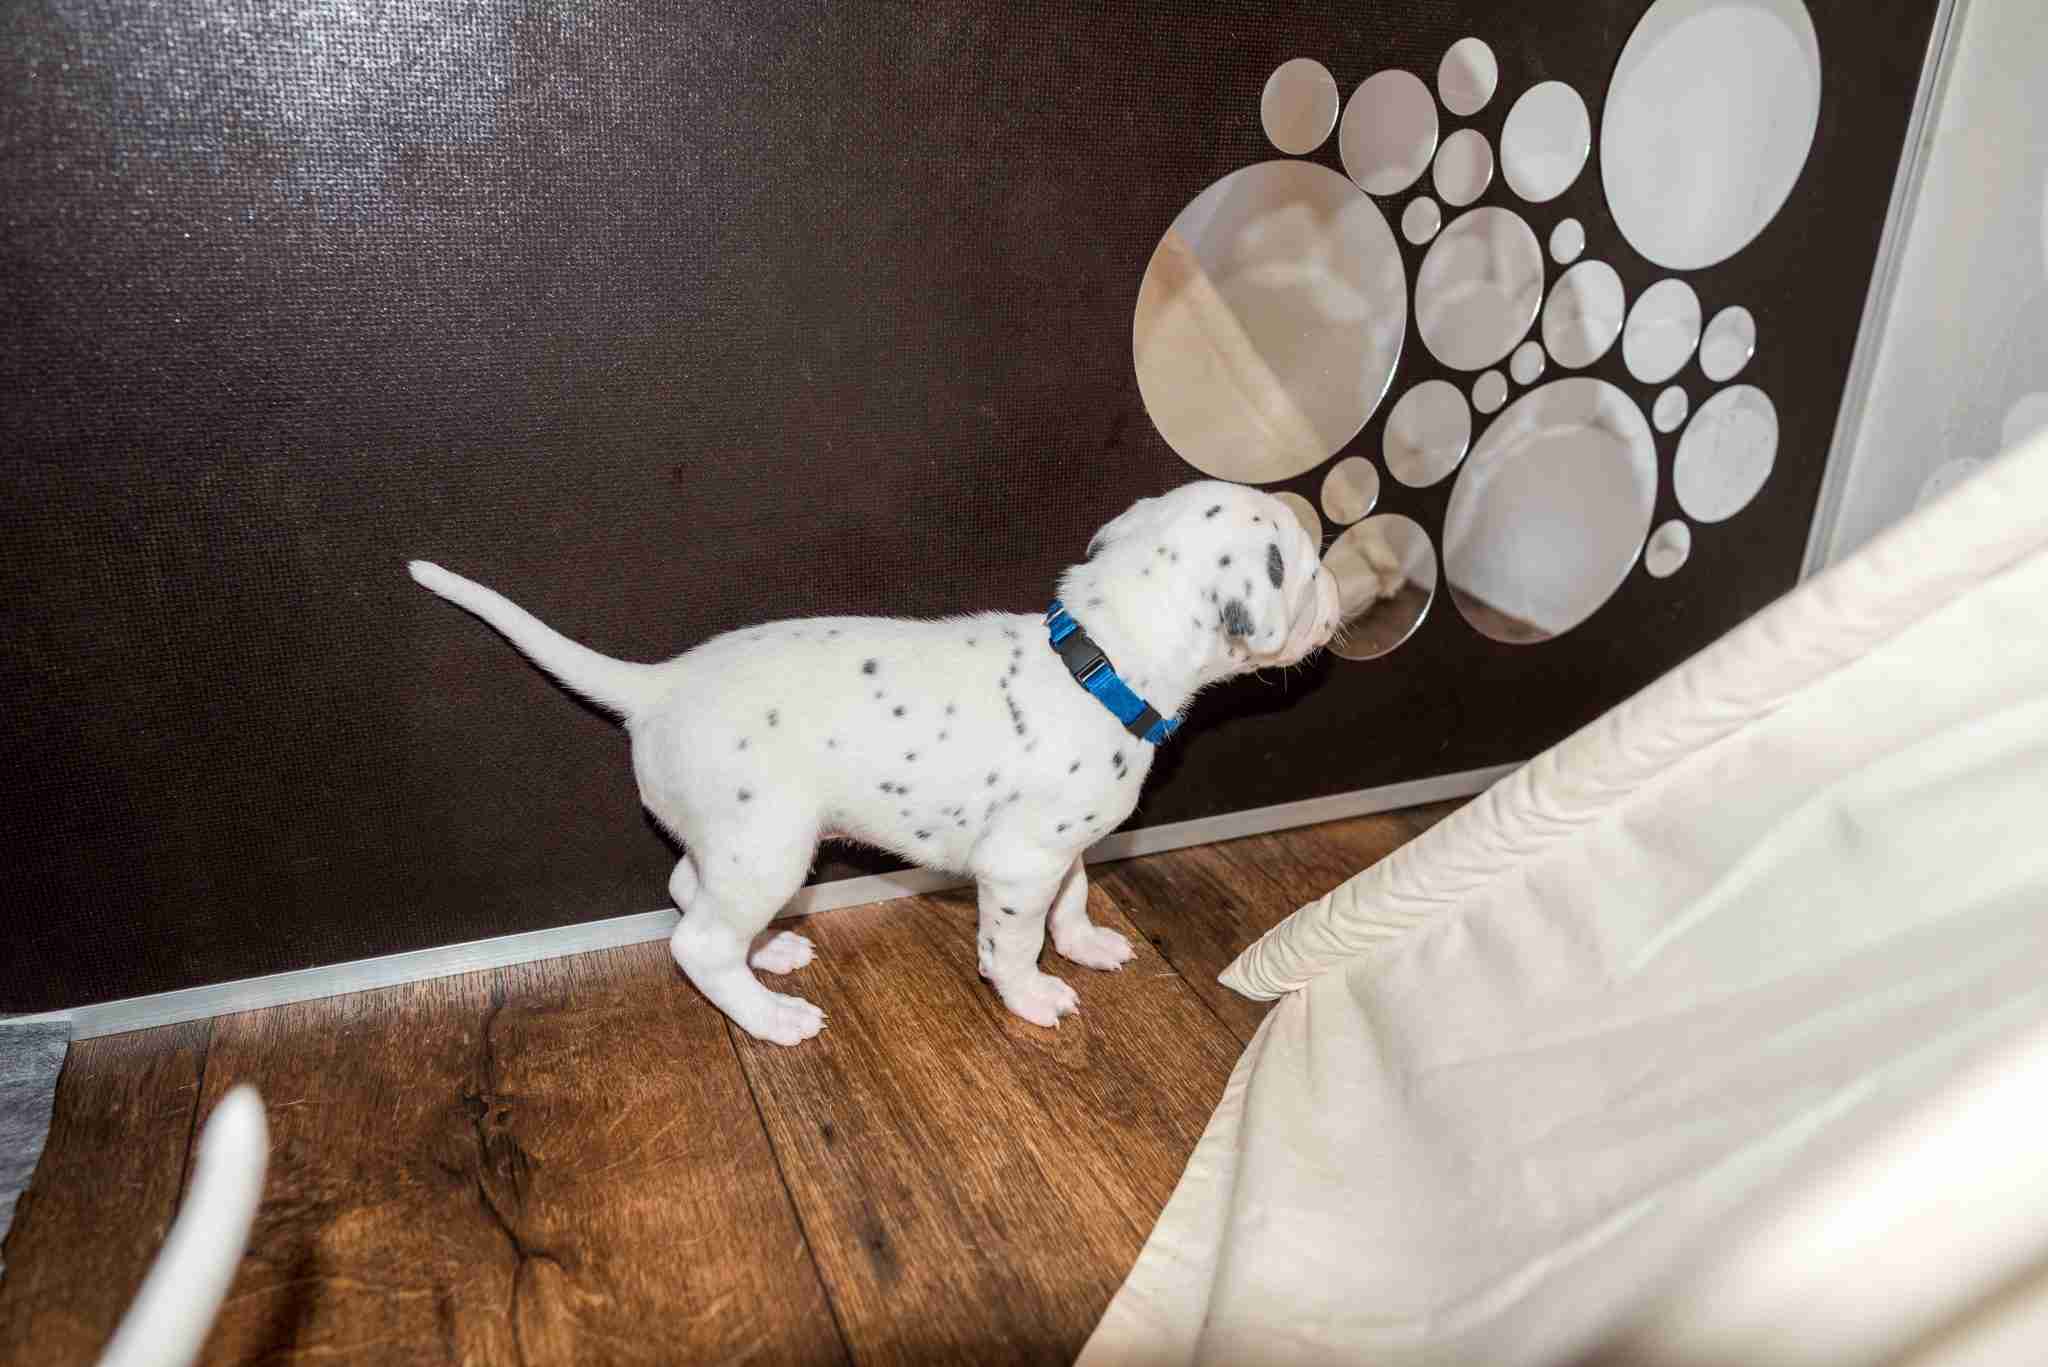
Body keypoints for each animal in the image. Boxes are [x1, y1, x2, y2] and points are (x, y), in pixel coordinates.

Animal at [410, 480, 1341, 1045]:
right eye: (1306, 567)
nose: (1339, 594)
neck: (1099, 656)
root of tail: (658, 684)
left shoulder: (1060, 846)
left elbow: (1075, 897)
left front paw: (1084, 943)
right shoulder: (1019, 864)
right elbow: (1013, 941)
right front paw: (1033, 993)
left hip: (738, 846)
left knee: (685, 890)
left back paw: (771, 953)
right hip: (771, 848)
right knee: (697, 943)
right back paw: (772, 1015)